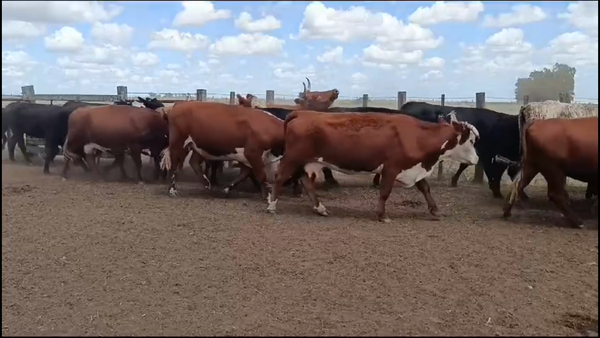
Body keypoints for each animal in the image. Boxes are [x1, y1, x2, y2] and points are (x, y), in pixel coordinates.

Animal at [264, 111, 480, 222]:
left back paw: (320, 208)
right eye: (470, 141)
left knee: (306, 182)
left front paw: (435, 211)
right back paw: (272, 205)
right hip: (293, 158)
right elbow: (384, 192)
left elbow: (425, 188)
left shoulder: (413, 168)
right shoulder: (391, 168)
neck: (417, 136)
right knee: (280, 177)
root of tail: (303, 112)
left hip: (307, 161)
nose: (477, 159)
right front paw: (382, 215)